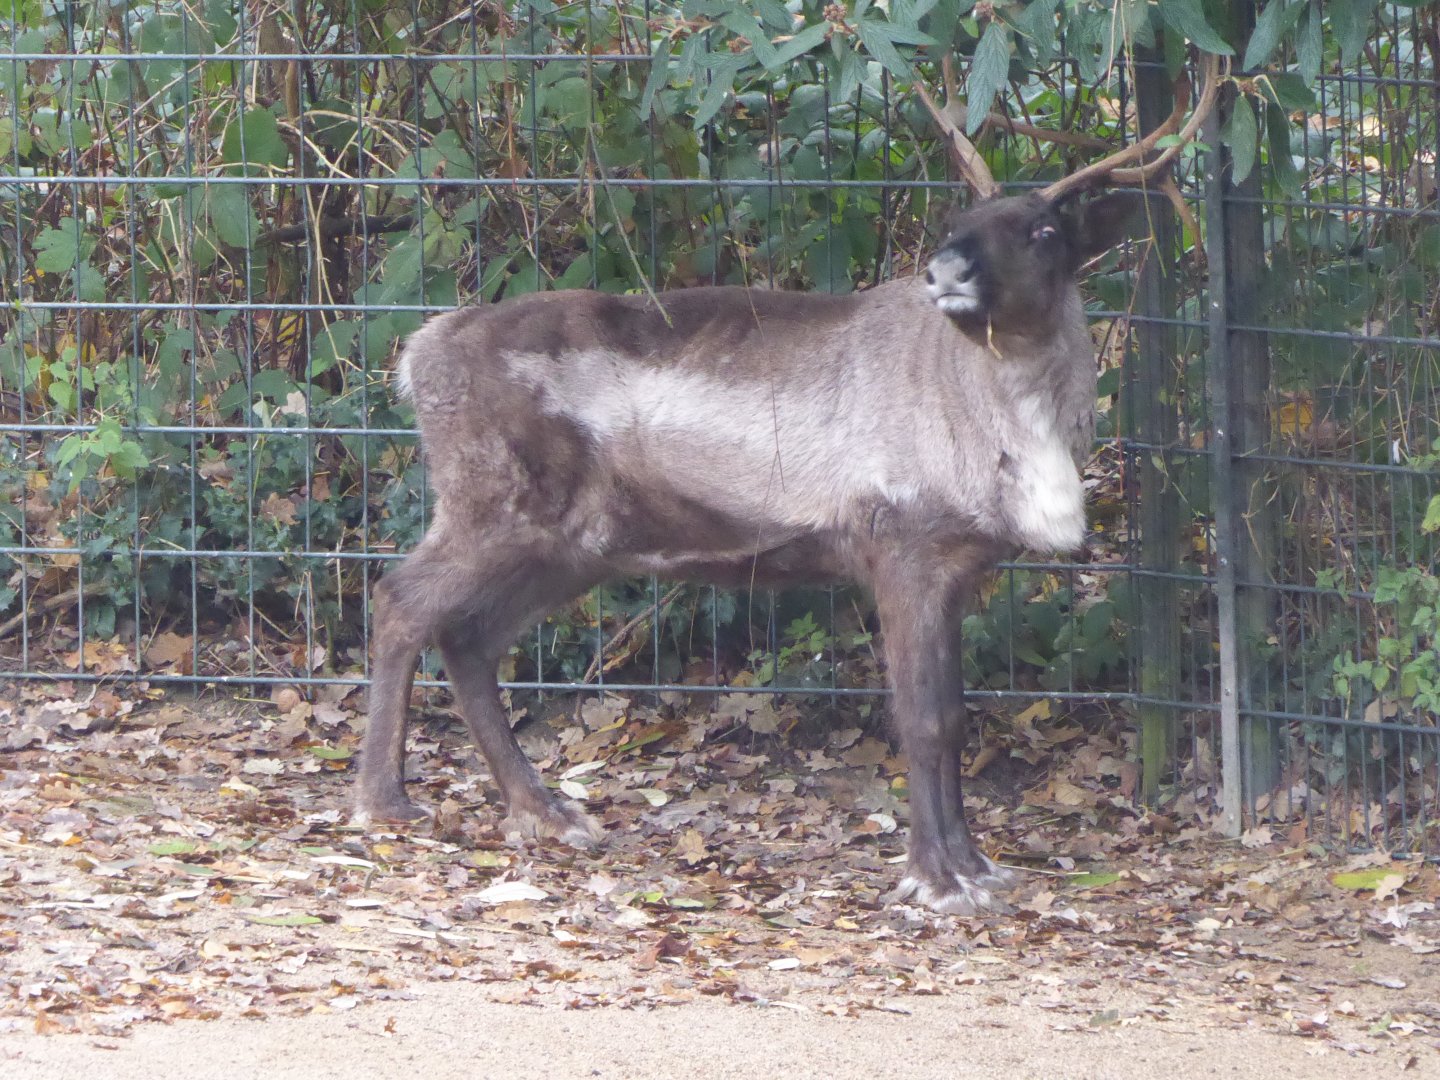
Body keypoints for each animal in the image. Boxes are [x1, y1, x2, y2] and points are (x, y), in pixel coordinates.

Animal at [353, 53, 1222, 915]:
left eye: (1044, 231)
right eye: (956, 226)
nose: (944, 270)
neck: (1013, 426)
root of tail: (417, 355)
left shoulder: (959, 569)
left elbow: (955, 717)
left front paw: (976, 867)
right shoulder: (901, 547)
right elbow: (926, 720)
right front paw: (934, 876)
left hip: (573, 546)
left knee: (469, 636)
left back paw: (543, 811)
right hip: (493, 508)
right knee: (400, 600)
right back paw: (385, 801)